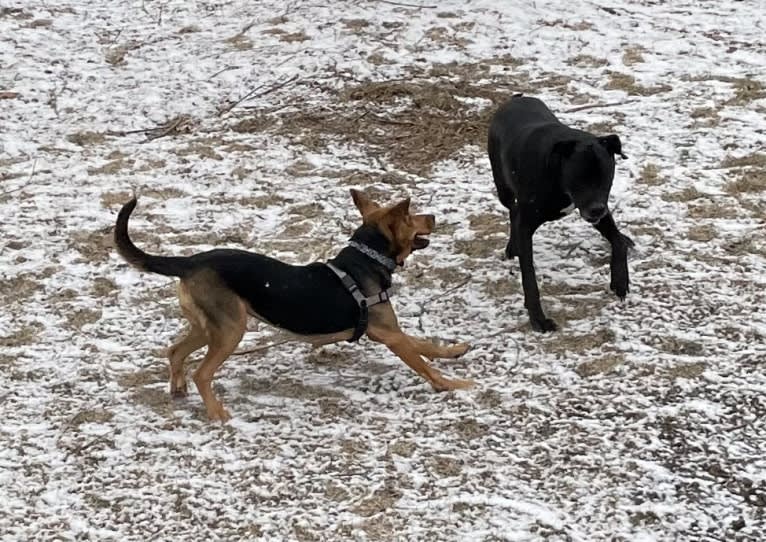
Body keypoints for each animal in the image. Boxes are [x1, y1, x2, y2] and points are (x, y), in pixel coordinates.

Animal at [115, 191, 474, 424]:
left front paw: (456, 350)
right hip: (231, 330)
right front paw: (454, 386)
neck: (366, 260)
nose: (434, 217)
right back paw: (217, 413)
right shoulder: (389, 335)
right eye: (411, 216)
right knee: (202, 372)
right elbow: (425, 364)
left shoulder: (391, 331)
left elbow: (428, 346)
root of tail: (188, 263)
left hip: (210, 327)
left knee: (175, 351)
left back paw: (177, 390)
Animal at [492, 96, 636, 334]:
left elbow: (617, 240)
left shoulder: (598, 210)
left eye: (606, 176)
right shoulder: (527, 223)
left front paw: (620, 280)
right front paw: (538, 319)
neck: (558, 177)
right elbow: (529, 277)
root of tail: (515, 98)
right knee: (512, 210)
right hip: (503, 186)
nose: (597, 209)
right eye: (579, 177)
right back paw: (512, 247)